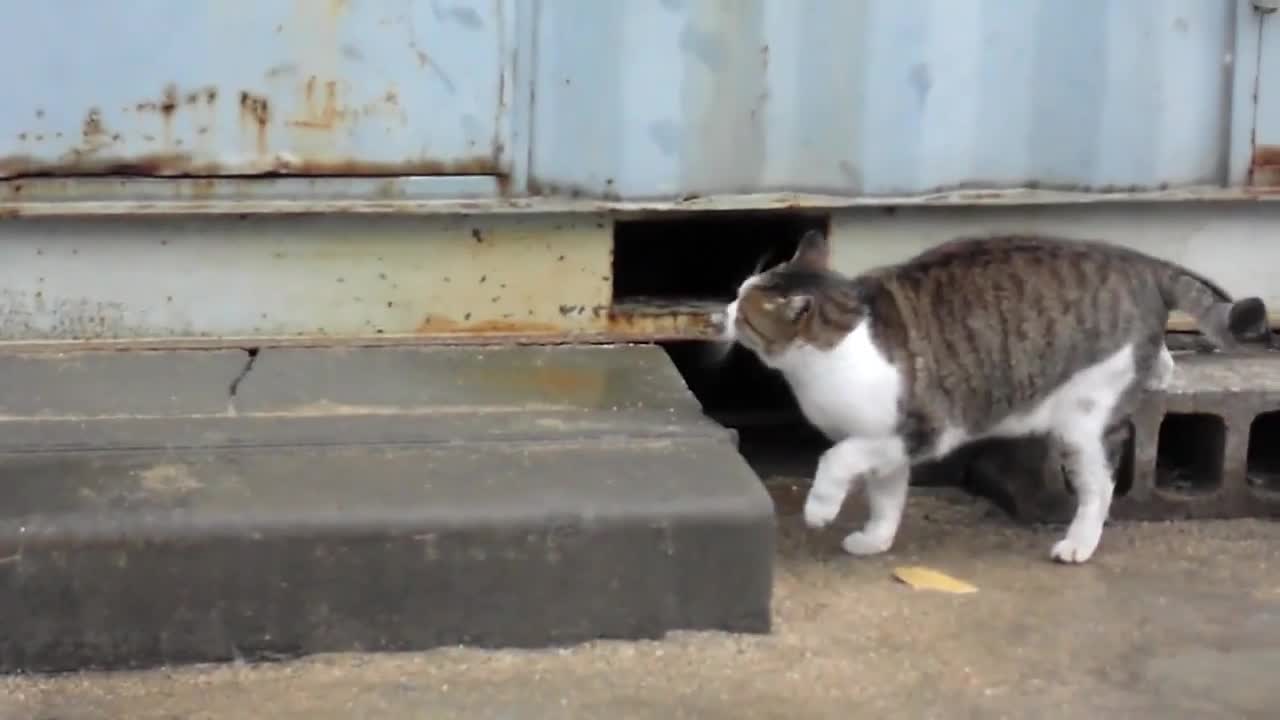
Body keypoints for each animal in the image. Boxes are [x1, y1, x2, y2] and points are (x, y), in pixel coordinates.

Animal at [716, 229, 1264, 561]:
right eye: (738, 294)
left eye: (745, 308)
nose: (721, 313)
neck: (827, 356)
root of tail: (1142, 262)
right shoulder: (888, 448)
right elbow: (887, 497)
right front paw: (875, 539)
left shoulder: (916, 430)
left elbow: (837, 457)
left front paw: (820, 508)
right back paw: (1161, 372)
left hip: (1083, 419)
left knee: (1100, 486)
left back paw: (1079, 543)